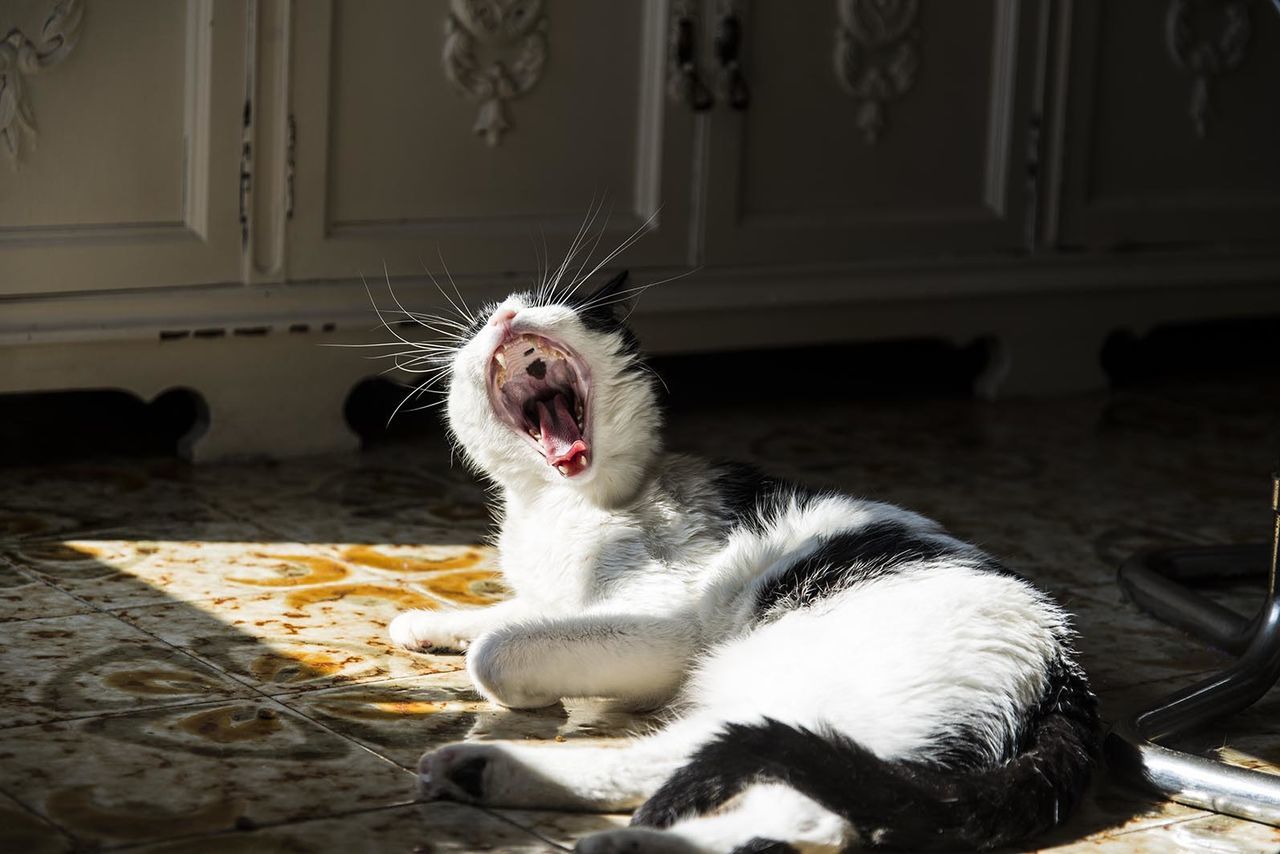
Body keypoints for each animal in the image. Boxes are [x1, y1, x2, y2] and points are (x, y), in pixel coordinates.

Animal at [384, 268, 1095, 854]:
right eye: (481, 323)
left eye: (553, 305)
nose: (506, 315)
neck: (559, 504)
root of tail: (1062, 676)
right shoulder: (554, 594)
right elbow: (509, 610)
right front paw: (427, 622)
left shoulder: (667, 625)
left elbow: (496, 650)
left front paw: (518, 680)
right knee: (712, 767)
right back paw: (482, 773)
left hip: (786, 683)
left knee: (800, 806)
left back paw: (618, 839)